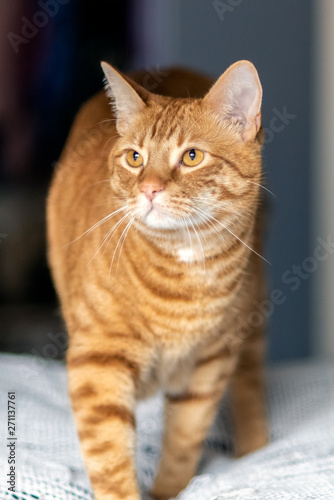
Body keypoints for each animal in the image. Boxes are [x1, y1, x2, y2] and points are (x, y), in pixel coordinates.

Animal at [47, 59, 268, 500]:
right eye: (135, 158)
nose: (148, 188)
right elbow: (111, 459)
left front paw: (168, 491)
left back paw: (257, 448)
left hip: (249, 323)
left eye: (192, 156)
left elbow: (183, 443)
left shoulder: (208, 367)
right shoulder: (99, 361)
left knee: (250, 382)